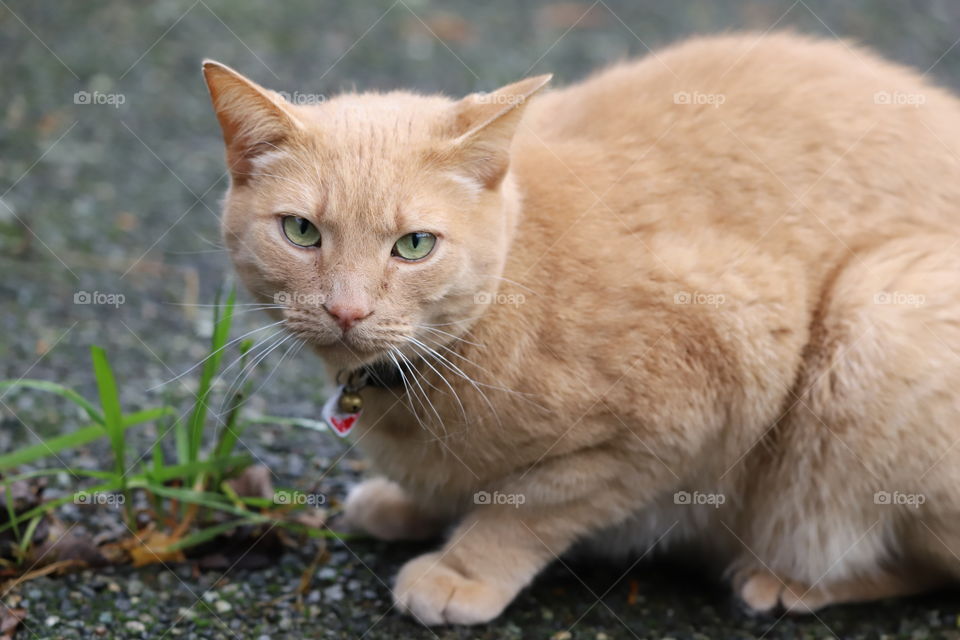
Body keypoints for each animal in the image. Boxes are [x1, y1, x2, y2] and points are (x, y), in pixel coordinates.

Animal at [206, 32, 960, 628]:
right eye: (302, 233)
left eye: (414, 245)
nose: (348, 311)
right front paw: (409, 504)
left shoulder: (685, 413)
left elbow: (528, 505)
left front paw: (462, 567)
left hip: (876, 319)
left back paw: (789, 581)